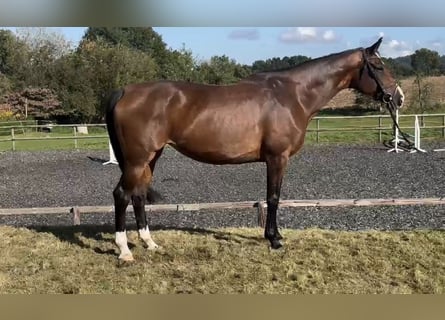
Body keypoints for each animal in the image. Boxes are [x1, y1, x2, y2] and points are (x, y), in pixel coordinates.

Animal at [106, 38, 402, 262]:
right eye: (378, 65)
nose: (398, 98)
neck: (292, 95)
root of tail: (125, 91)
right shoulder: (277, 158)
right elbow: (273, 197)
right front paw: (274, 239)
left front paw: (275, 236)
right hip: (137, 159)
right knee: (121, 195)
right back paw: (124, 251)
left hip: (150, 158)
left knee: (138, 196)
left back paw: (149, 243)